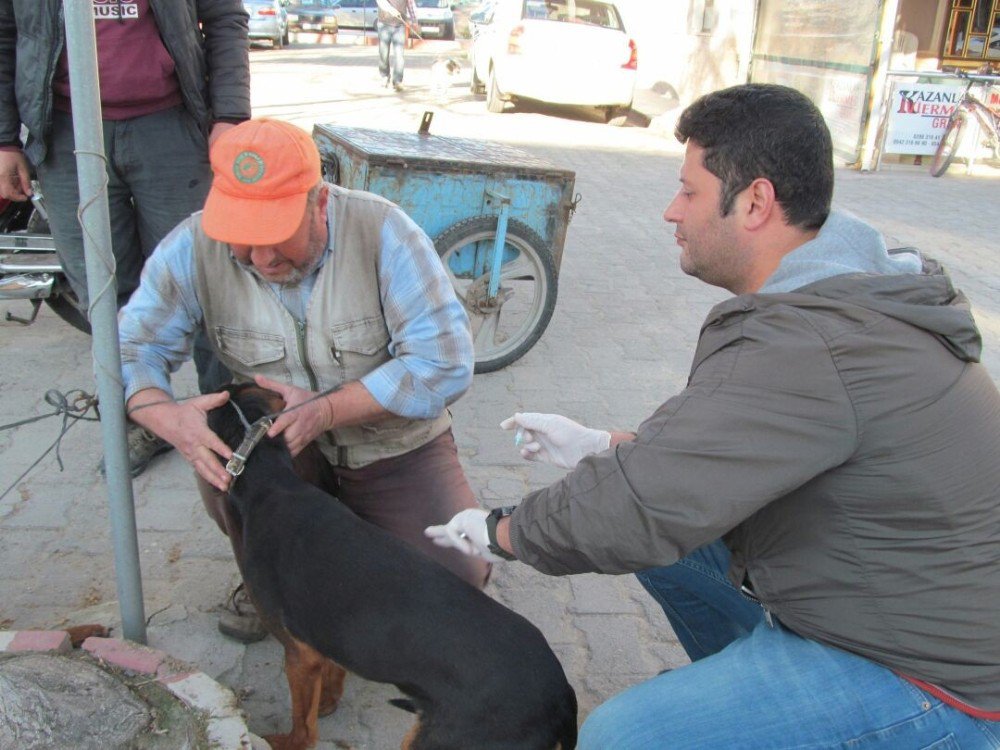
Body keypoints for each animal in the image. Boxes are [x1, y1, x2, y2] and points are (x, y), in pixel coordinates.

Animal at [207, 388, 576, 750]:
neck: (272, 483)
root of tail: (561, 698)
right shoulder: (329, 638)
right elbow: (333, 676)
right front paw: (327, 702)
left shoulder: (299, 652)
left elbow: (302, 728)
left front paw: (283, 739)